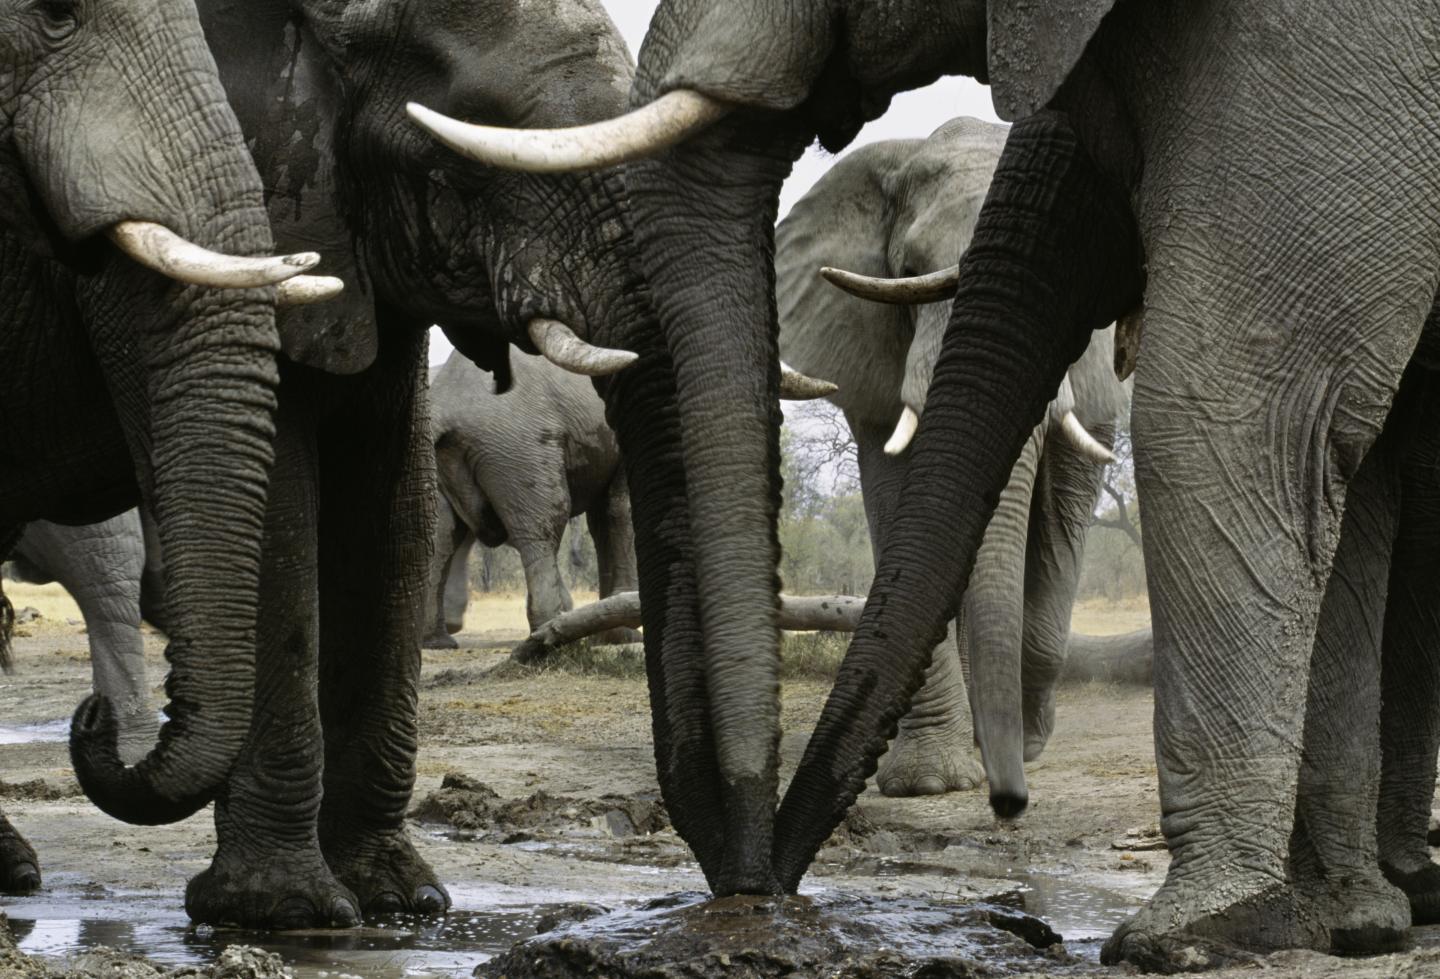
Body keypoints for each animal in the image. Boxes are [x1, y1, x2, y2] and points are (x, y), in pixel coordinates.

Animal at [425, 350, 641, 648]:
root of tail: (443, 408)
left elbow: (605, 518)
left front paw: (609, 635)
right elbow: (618, 511)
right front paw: (622, 636)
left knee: (443, 537)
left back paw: (438, 641)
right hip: (519, 448)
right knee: (542, 526)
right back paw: (553, 635)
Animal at [775, 117, 1130, 802]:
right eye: (908, 270)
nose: (1008, 800)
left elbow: (1059, 518)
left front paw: (1024, 743)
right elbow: (900, 510)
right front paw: (928, 781)